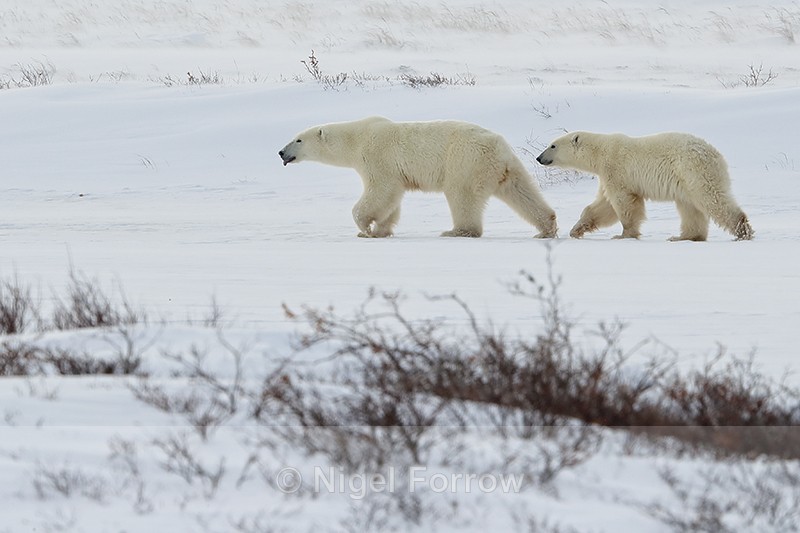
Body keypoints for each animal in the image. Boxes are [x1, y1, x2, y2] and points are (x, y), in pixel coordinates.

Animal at [279, 116, 557, 238]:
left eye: (298, 139)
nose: (281, 152)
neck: (357, 138)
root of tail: (498, 148)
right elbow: (391, 200)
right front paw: (381, 230)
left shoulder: (377, 157)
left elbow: (380, 191)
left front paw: (364, 228)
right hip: (506, 168)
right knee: (522, 192)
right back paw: (546, 228)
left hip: (465, 161)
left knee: (461, 195)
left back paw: (457, 231)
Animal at [536, 131, 754, 241]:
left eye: (552, 145)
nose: (538, 158)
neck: (601, 151)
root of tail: (716, 155)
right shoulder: (607, 175)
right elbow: (602, 206)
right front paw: (576, 230)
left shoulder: (616, 169)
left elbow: (623, 203)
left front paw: (623, 234)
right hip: (686, 180)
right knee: (690, 207)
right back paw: (683, 237)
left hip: (693, 170)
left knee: (712, 198)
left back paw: (742, 231)